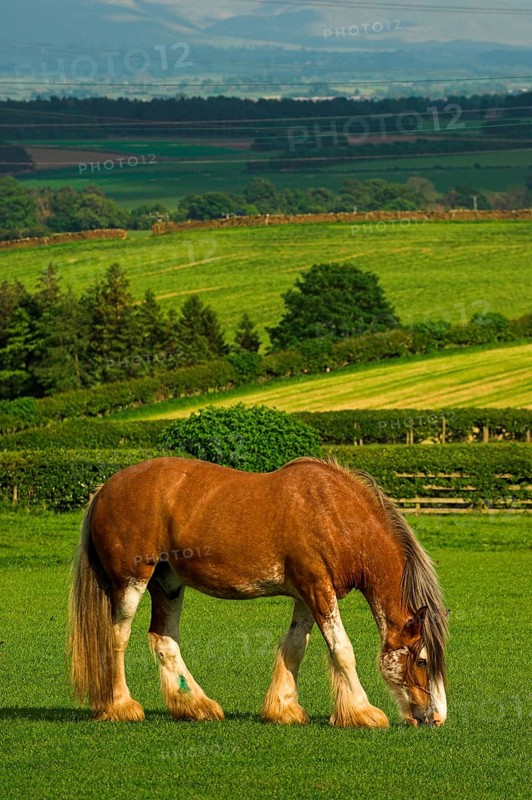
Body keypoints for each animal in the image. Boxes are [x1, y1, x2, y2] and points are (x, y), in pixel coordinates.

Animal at [68, 456, 448, 727]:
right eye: (422, 660)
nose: (436, 718)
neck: (334, 514)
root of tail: (106, 489)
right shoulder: (317, 588)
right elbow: (342, 649)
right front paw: (362, 712)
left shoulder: (308, 594)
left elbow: (295, 647)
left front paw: (284, 708)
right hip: (131, 582)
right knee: (117, 637)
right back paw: (121, 705)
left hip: (169, 584)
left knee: (164, 639)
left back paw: (196, 705)